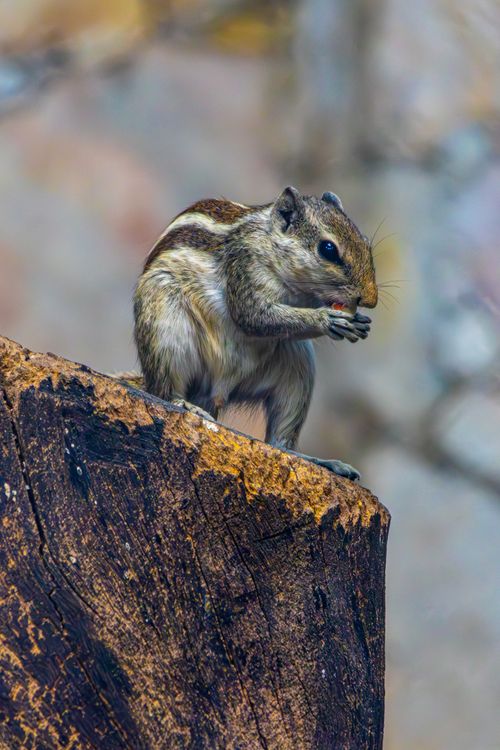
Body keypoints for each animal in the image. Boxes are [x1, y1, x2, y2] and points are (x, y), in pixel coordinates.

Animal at [129, 186, 377, 480]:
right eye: (328, 249)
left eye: (365, 243)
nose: (371, 299)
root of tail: (215, 393)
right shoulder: (244, 270)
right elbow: (254, 316)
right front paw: (326, 319)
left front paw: (359, 321)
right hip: (167, 331)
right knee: (165, 391)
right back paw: (185, 405)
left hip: (296, 370)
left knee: (280, 441)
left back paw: (320, 461)